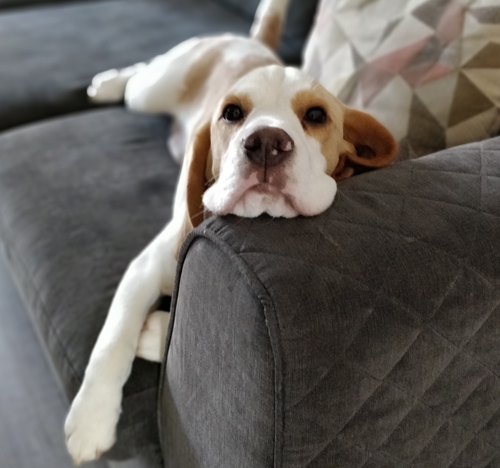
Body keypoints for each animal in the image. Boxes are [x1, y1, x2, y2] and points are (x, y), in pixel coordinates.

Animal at [64, 0, 396, 462]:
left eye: (316, 115)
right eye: (232, 114)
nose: (267, 143)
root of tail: (249, 42)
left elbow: (168, 333)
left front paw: (155, 331)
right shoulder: (146, 266)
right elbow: (113, 339)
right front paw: (91, 418)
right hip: (155, 87)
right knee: (139, 75)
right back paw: (109, 83)